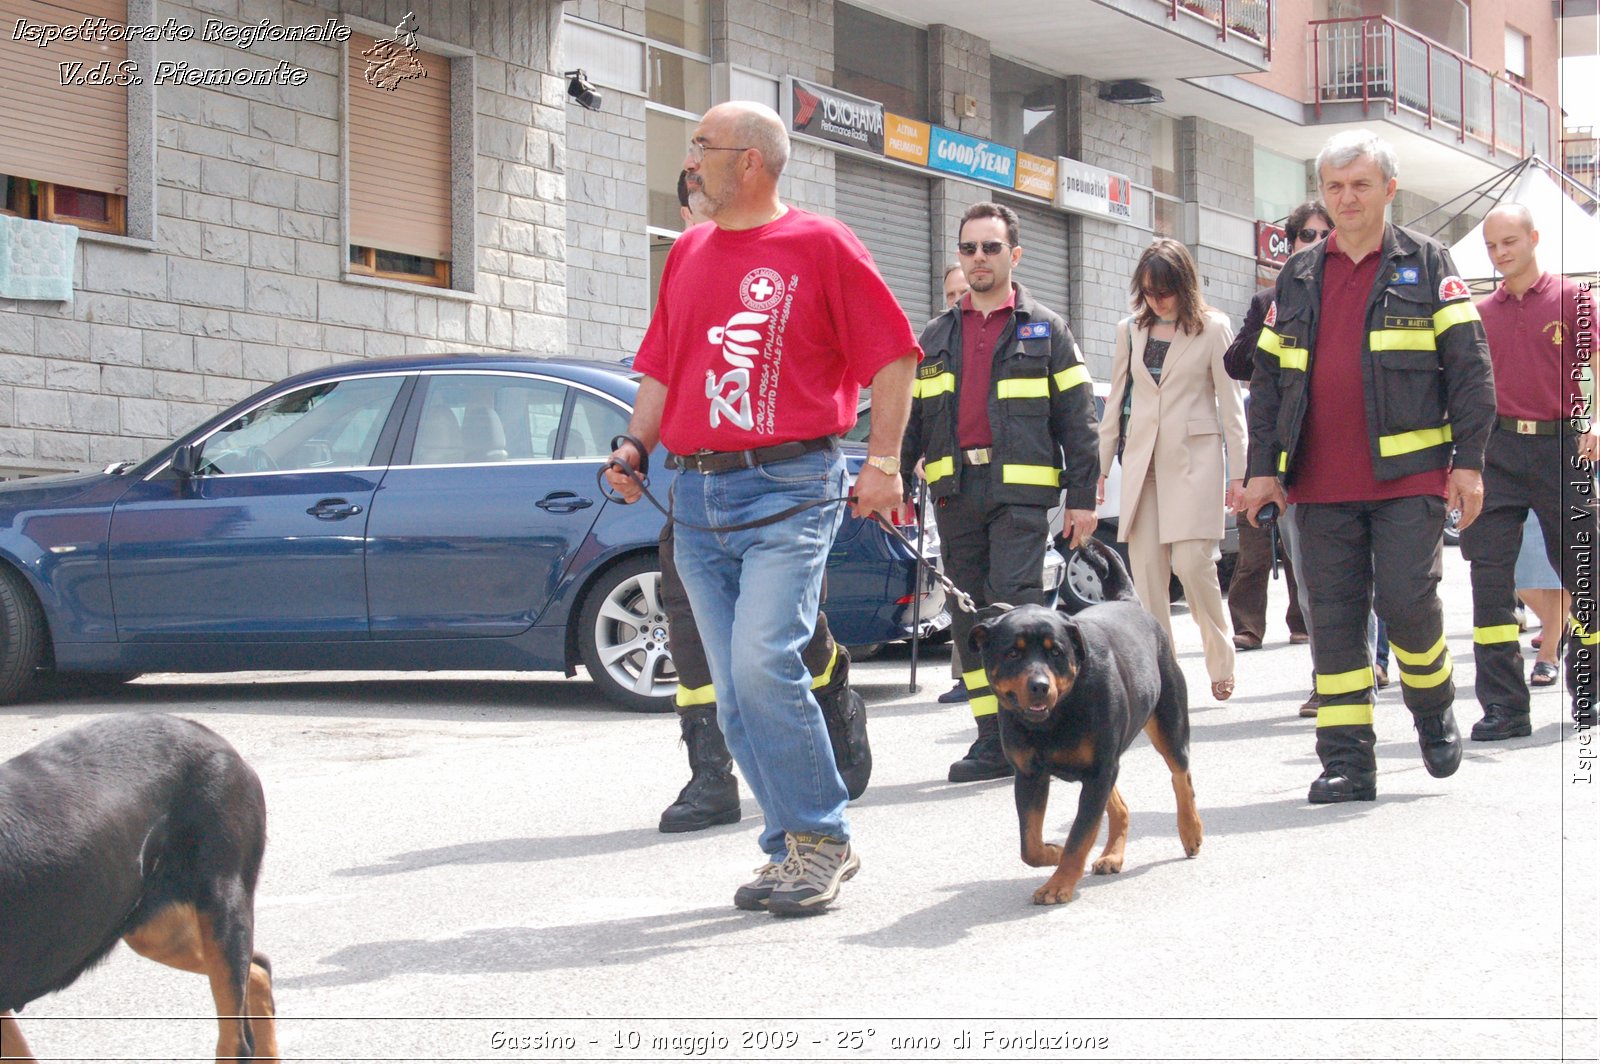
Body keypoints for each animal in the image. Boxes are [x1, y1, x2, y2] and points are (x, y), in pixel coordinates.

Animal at [960, 540, 1203, 902]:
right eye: (1013, 653)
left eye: (1056, 652)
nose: (1039, 685)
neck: (1056, 717)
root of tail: (1128, 601)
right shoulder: (1030, 774)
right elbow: (1029, 843)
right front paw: (1052, 852)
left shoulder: (1098, 770)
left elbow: (1079, 835)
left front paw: (1058, 883)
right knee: (1120, 805)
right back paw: (1112, 855)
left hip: (1168, 723)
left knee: (1180, 775)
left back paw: (1191, 832)